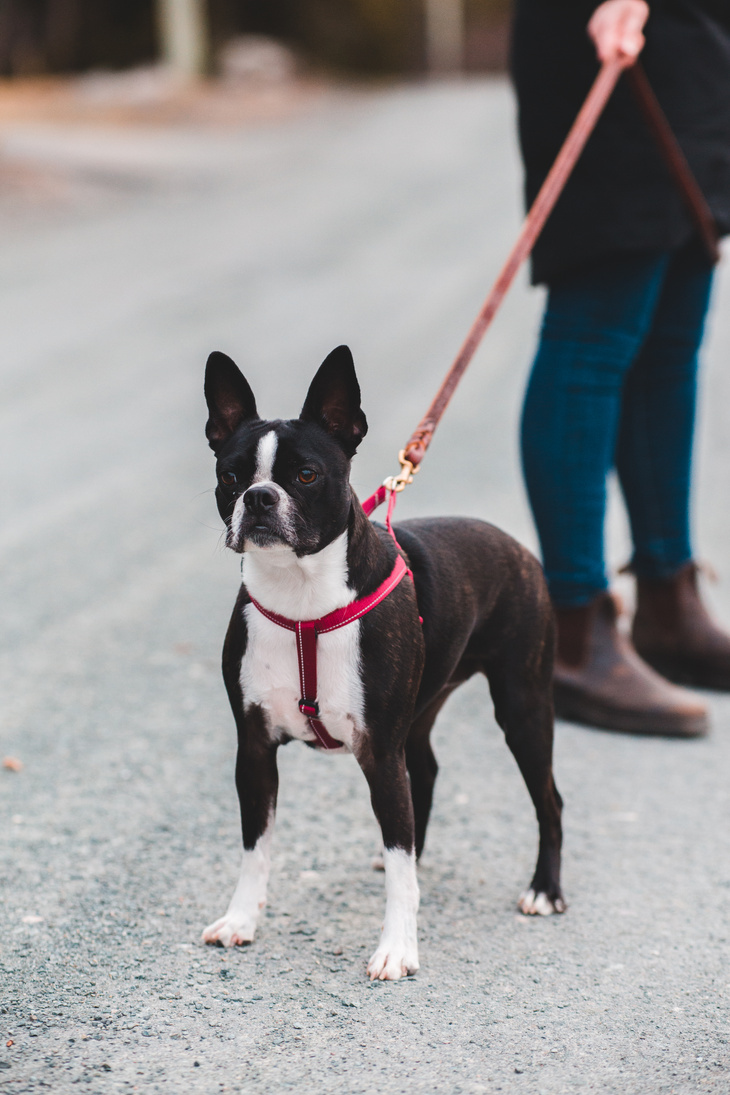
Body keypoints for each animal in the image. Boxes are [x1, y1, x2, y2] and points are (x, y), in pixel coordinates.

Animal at [200, 346, 564, 981]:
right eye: (231, 476)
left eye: (306, 475)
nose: (259, 497)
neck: (302, 598)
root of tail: (516, 545)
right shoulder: (255, 749)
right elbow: (256, 846)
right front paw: (241, 919)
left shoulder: (379, 751)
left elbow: (400, 868)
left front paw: (397, 948)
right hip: (421, 713)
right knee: (427, 776)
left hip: (523, 708)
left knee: (548, 800)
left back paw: (544, 890)